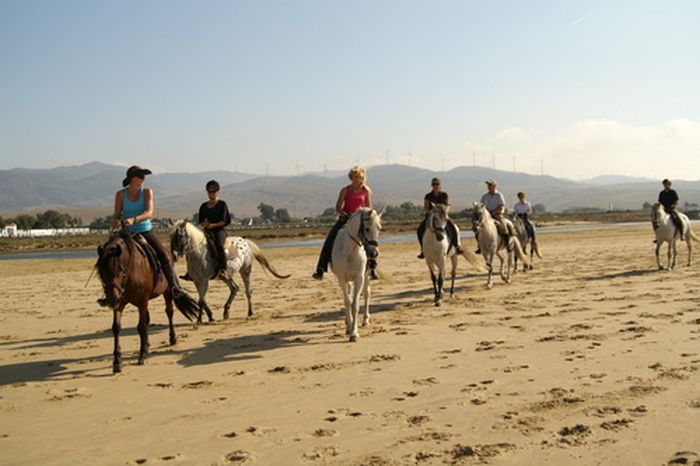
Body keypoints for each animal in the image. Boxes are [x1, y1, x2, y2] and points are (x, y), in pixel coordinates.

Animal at [95, 231, 200, 374]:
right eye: (101, 272)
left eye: (121, 270)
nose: (112, 300)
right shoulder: (120, 303)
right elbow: (116, 327)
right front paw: (117, 361)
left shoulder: (142, 301)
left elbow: (141, 326)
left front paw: (142, 355)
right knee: (148, 319)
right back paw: (148, 344)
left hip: (167, 291)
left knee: (169, 312)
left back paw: (172, 338)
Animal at [330, 208, 380, 342]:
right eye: (367, 228)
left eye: (379, 228)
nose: (374, 253)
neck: (351, 251)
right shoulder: (342, 279)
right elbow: (347, 302)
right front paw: (349, 328)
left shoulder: (359, 278)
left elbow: (355, 304)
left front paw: (354, 333)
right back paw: (348, 321)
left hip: (366, 276)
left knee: (367, 294)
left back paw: (365, 320)